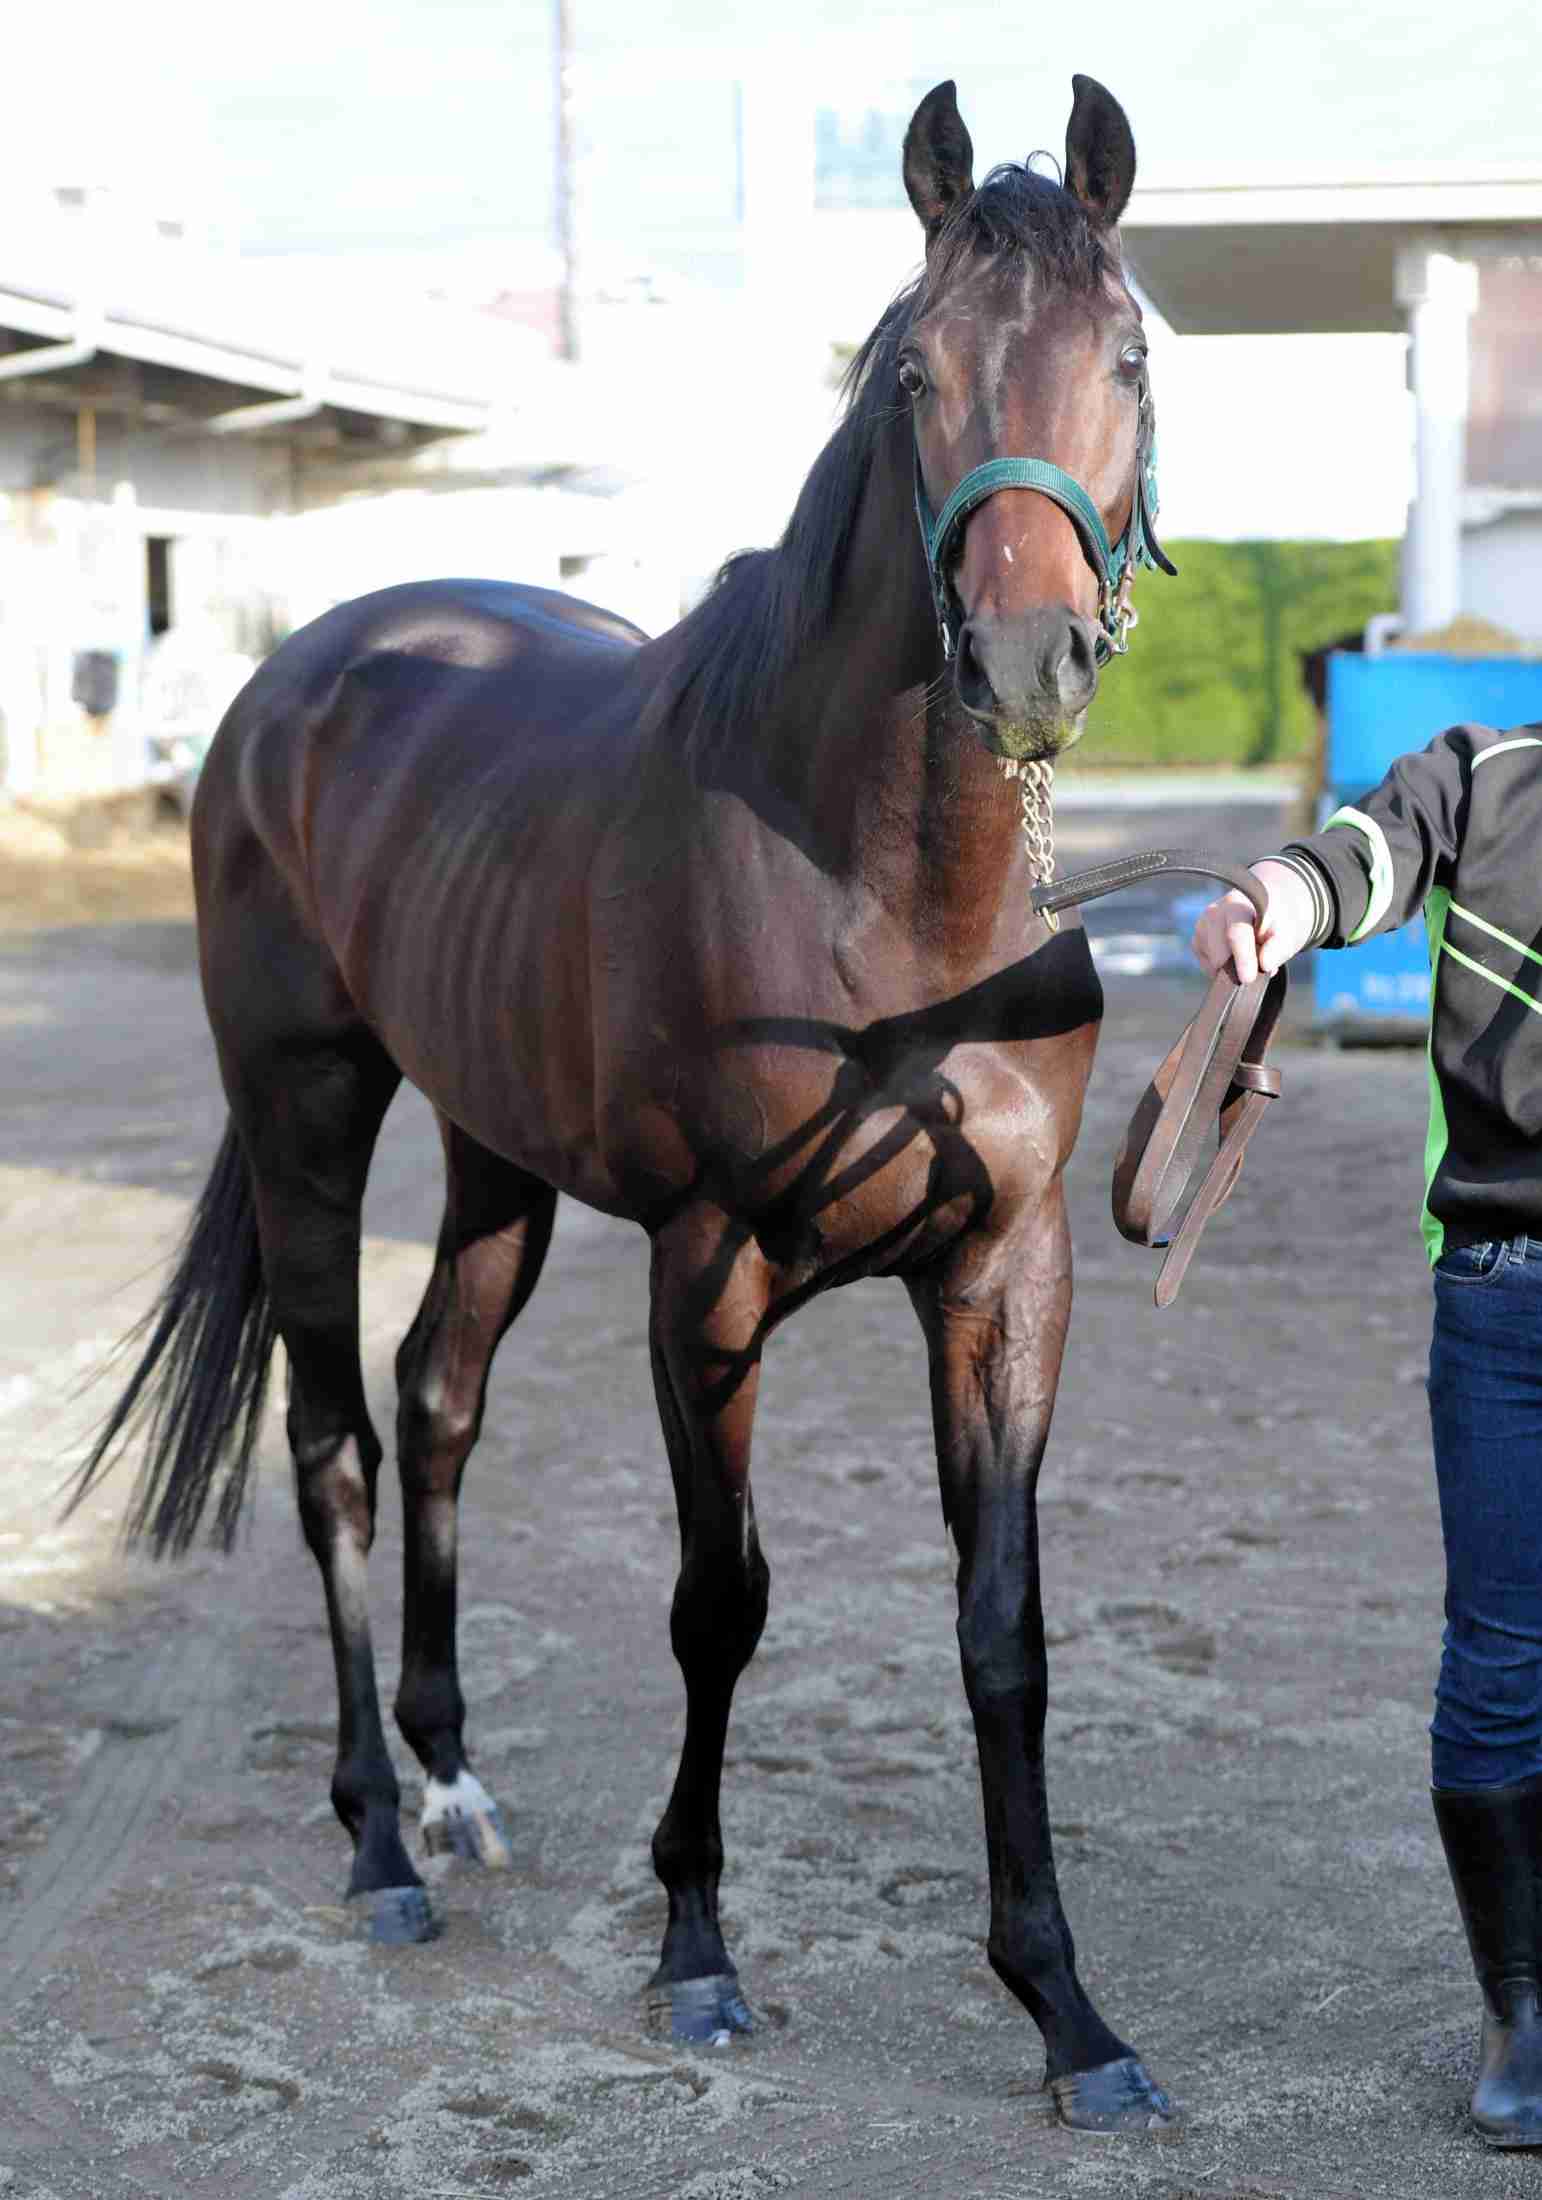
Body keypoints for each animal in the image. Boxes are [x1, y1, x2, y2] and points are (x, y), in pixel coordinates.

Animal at [77, 75, 1178, 2133]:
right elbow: (715, 1602)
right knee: (334, 1439)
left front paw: (1069, 2012)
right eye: (911, 369)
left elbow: (1003, 1629)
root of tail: (296, 678)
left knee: (436, 1399)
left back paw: (450, 1781)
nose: (1021, 664)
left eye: (1130, 355)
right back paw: (379, 1843)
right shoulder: (707, 1272)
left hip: (491, 1151)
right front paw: (694, 1954)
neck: (885, 902)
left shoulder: (1005, 1274)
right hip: (309, 1117)